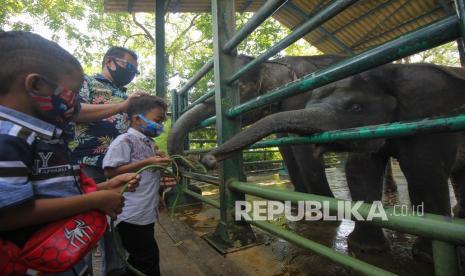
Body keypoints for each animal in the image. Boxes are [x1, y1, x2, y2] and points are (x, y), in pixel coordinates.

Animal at [203, 62, 465, 260]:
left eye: (356, 107)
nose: (209, 159)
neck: (388, 73)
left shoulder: (431, 115)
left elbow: (424, 172)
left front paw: (425, 256)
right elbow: (359, 170)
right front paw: (366, 249)